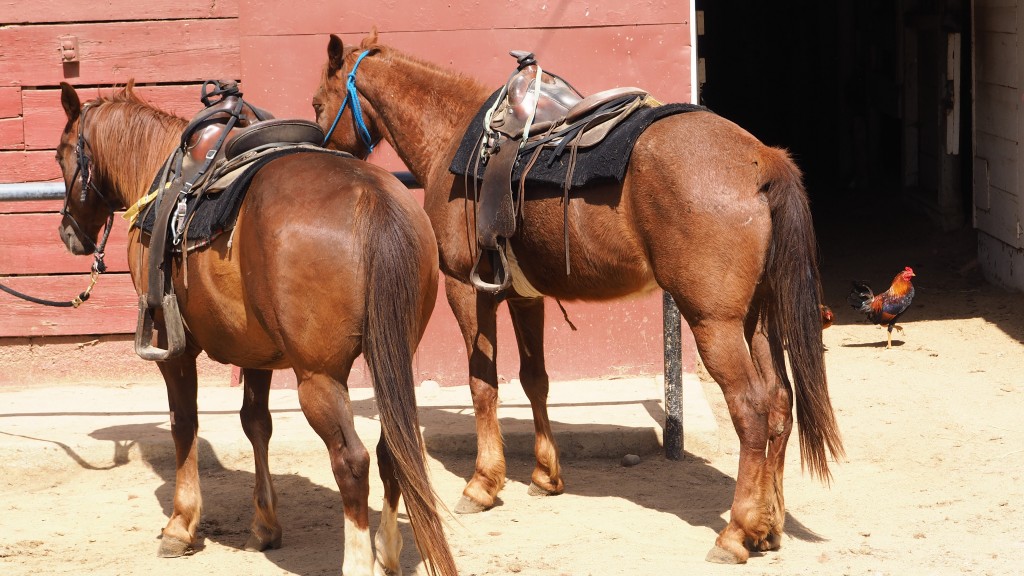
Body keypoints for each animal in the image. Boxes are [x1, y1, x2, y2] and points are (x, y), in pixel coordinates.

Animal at [55, 81, 456, 573]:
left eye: (62, 154)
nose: (68, 234)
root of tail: (372, 198)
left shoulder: (173, 348)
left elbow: (184, 424)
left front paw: (180, 525)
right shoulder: (257, 351)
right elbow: (256, 423)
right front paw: (265, 525)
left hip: (319, 377)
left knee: (352, 460)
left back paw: (360, 559)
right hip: (393, 354)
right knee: (391, 450)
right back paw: (389, 550)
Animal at [313, 32, 847, 561]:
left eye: (319, 103)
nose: (320, 150)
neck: (453, 138)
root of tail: (762, 159)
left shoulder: (466, 289)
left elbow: (483, 383)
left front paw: (483, 484)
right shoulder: (525, 297)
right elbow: (535, 381)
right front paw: (546, 475)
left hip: (714, 322)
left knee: (751, 411)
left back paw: (735, 533)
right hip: (757, 318)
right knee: (779, 404)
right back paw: (767, 525)